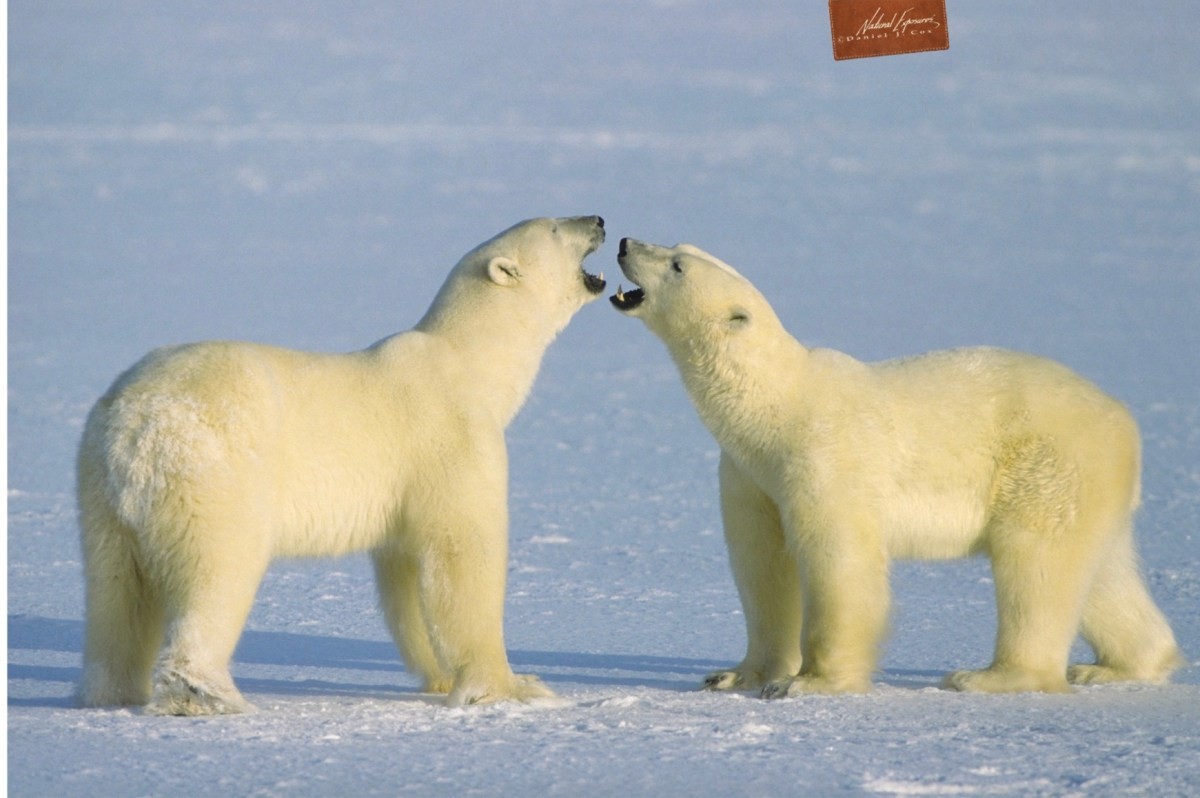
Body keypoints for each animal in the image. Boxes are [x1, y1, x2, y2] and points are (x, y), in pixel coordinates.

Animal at [76, 215, 607, 715]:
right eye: (555, 226)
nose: (599, 220)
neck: (470, 362)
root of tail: (136, 421)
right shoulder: (454, 441)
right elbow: (462, 553)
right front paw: (514, 686)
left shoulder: (405, 493)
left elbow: (407, 576)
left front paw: (440, 677)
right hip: (212, 469)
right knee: (216, 568)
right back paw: (205, 694)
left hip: (103, 494)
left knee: (117, 592)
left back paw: (109, 691)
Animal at [611, 236, 1183, 696]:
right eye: (677, 246)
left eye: (677, 264)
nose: (624, 241)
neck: (775, 406)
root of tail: (1123, 420)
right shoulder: (750, 474)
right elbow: (762, 564)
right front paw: (734, 675)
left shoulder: (825, 456)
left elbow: (839, 561)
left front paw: (809, 683)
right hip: (1086, 483)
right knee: (1099, 569)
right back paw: (1116, 666)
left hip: (1046, 463)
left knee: (1036, 565)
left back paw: (987, 676)